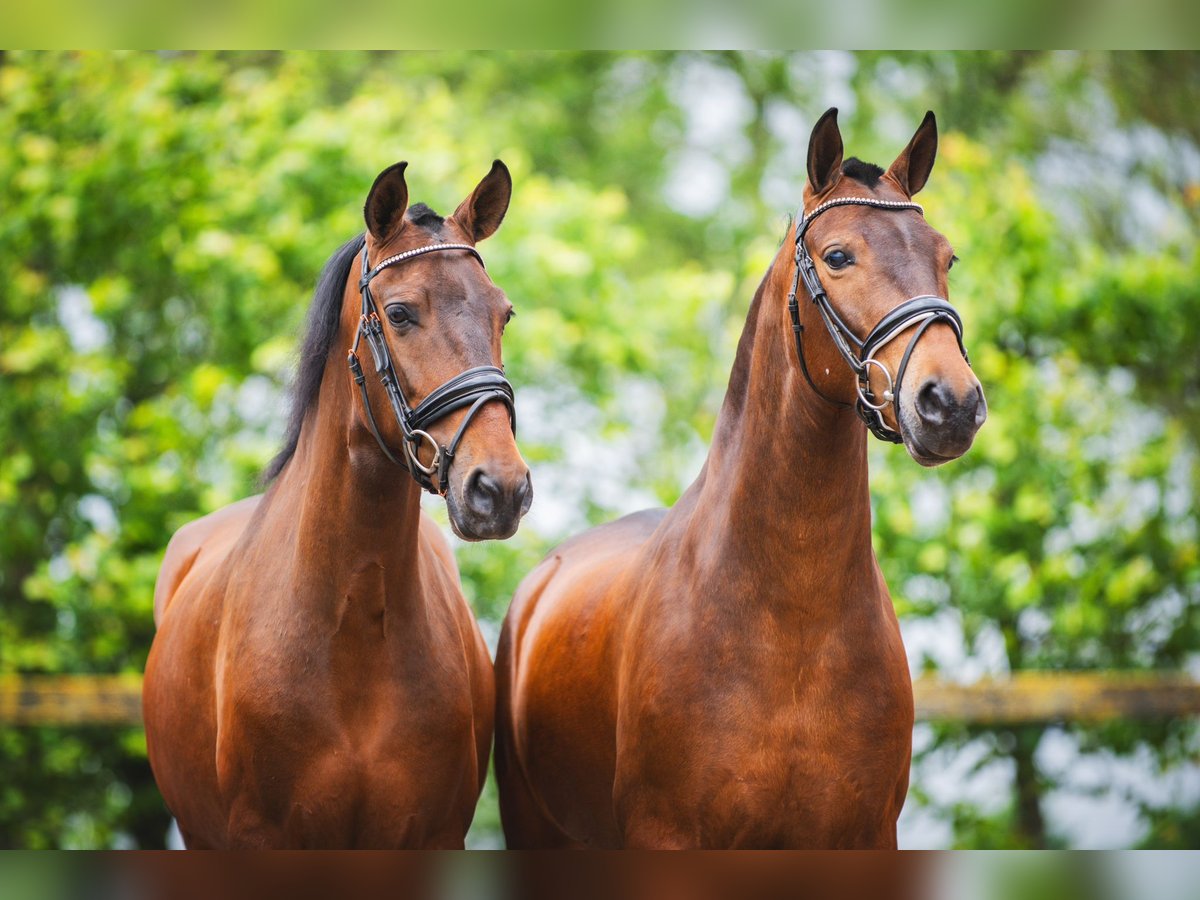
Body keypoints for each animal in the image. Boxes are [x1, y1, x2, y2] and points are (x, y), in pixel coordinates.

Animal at [494, 109, 984, 849]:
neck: (791, 626)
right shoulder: (667, 836)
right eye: (838, 256)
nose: (950, 404)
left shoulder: (866, 835)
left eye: (946, 256)